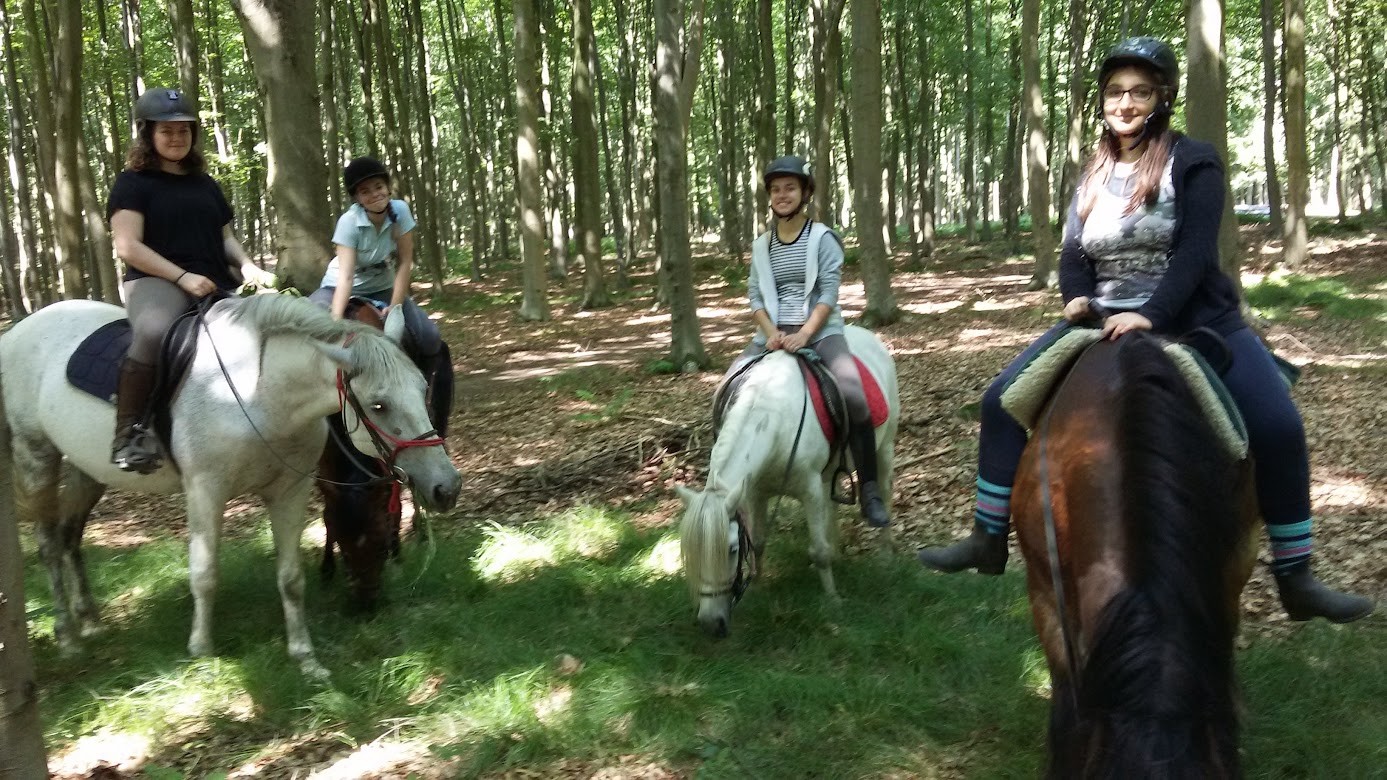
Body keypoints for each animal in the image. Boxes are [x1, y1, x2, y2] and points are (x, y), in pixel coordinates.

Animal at [317, 297, 452, 607]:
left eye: (378, 545)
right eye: (343, 546)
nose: (366, 601)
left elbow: (397, 505)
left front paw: (396, 553)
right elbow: (327, 513)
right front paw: (326, 568)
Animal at [679, 324, 898, 635]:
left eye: (731, 549)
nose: (712, 624)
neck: (773, 414)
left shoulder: (809, 489)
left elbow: (818, 551)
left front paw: (833, 600)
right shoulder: (755, 492)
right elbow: (758, 542)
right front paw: (757, 587)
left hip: (885, 447)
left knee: (884, 491)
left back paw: (885, 554)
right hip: (829, 473)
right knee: (832, 505)